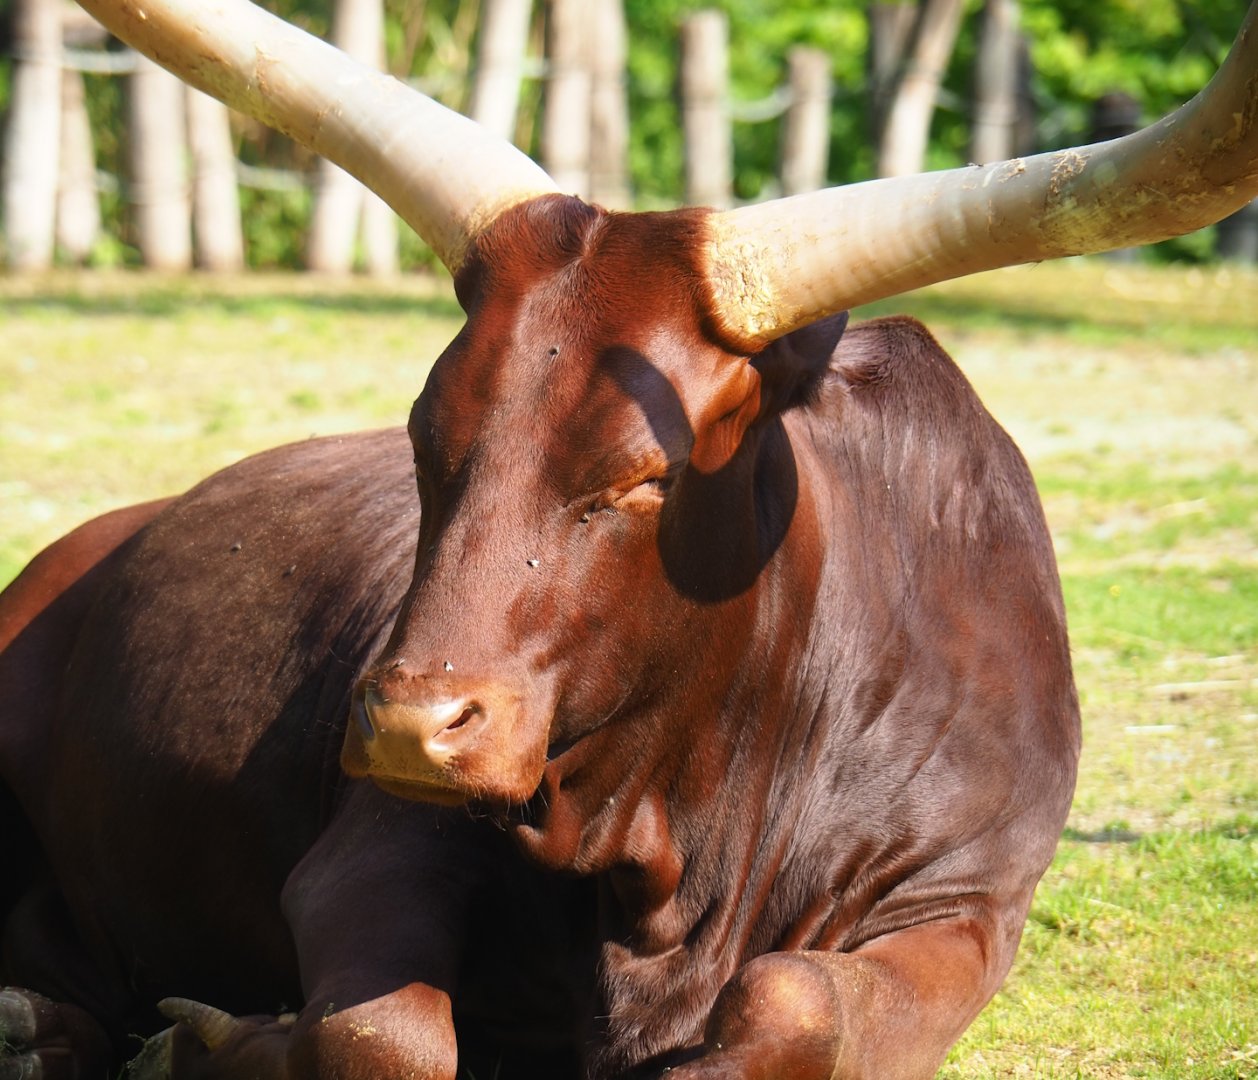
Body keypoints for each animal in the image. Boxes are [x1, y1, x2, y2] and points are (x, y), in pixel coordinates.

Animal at [1, 2, 1255, 1078]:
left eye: (649, 475)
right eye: (422, 433)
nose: (410, 724)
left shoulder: (964, 902)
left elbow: (794, 1000)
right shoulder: (379, 846)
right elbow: (385, 1032)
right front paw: (207, 1039)